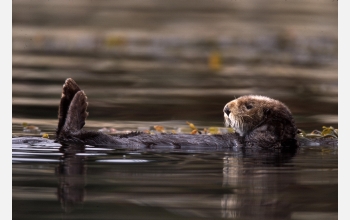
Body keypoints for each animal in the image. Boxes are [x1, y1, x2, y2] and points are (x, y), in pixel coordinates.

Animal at [54, 78, 298, 150]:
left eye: (248, 106)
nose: (226, 108)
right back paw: (70, 90)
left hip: (99, 138)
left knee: (72, 132)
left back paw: (77, 97)